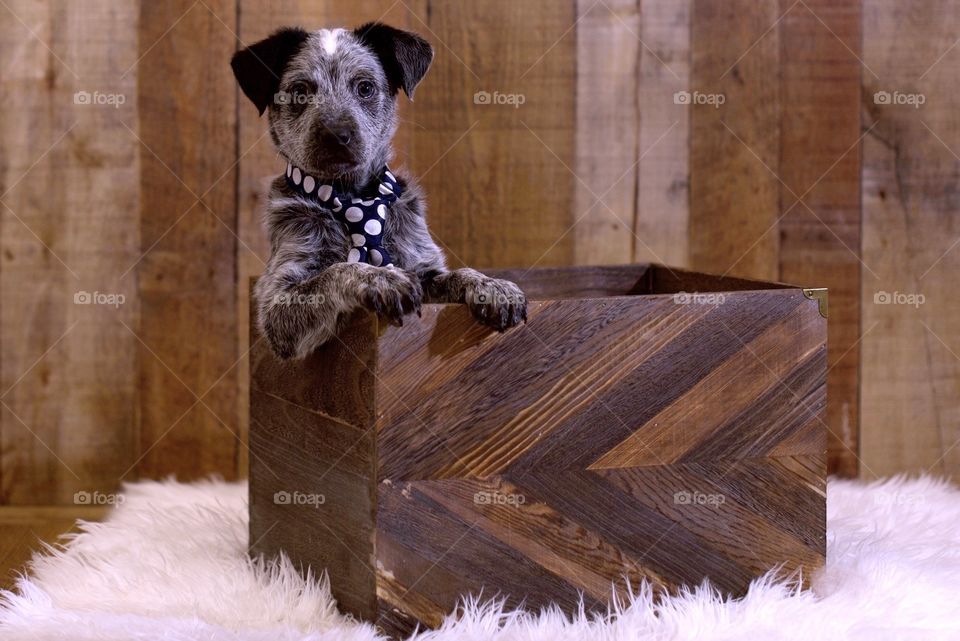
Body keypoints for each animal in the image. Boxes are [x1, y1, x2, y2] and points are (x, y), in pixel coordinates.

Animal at [230, 22, 528, 358]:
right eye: (299, 91)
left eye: (365, 87)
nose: (337, 135)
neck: (353, 198)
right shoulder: (277, 304)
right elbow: (341, 269)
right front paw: (381, 278)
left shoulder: (423, 269)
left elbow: (457, 273)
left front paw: (493, 286)